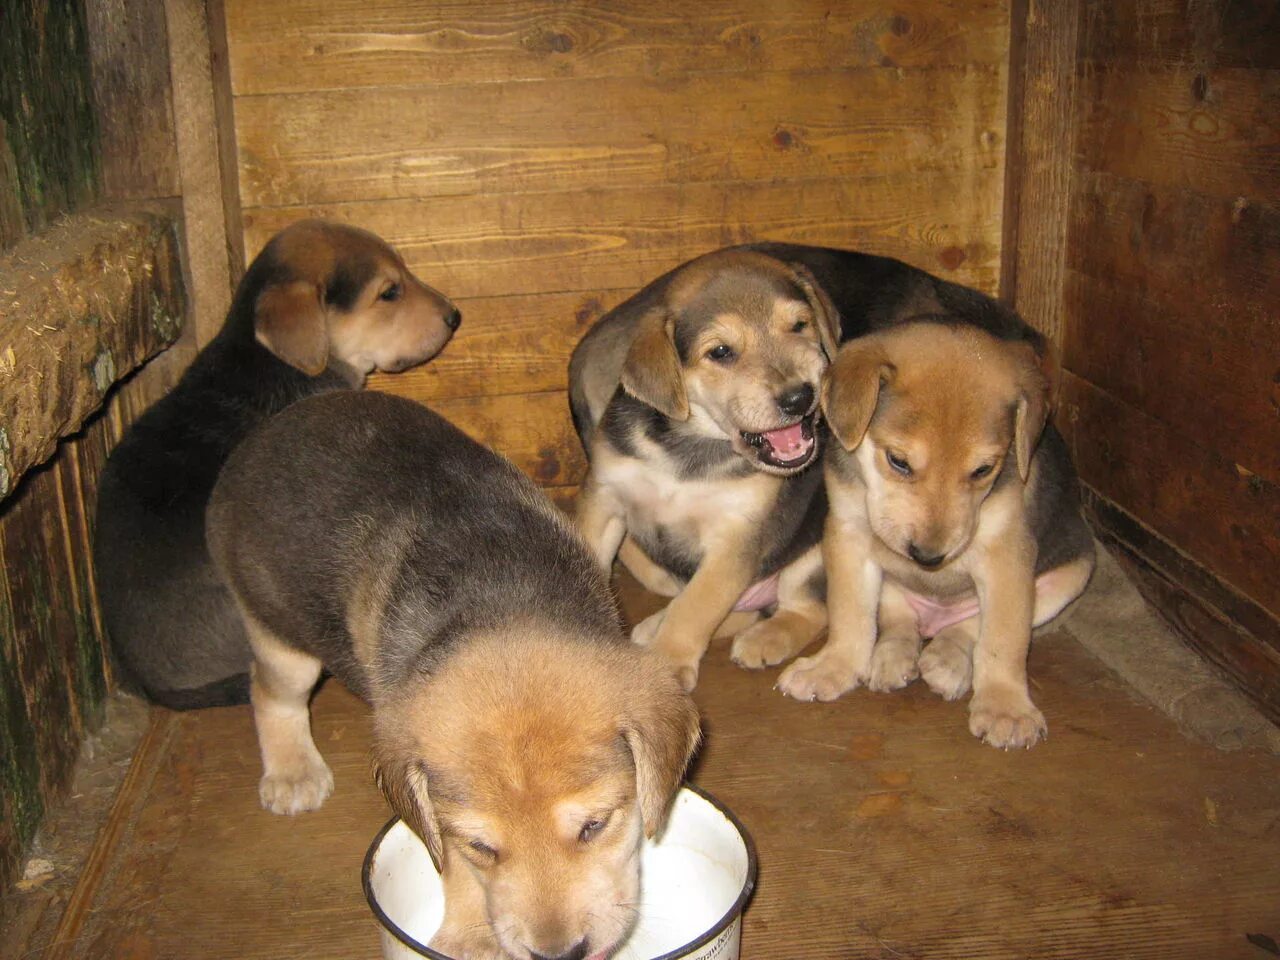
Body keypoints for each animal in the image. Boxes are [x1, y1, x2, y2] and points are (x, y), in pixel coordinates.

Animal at [206, 389, 701, 960]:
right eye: (482, 846)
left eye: (594, 826)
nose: (560, 955)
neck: (503, 604)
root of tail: (265, 433)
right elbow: (456, 870)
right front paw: (471, 937)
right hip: (283, 639)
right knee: (269, 693)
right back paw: (291, 773)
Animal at [783, 323, 1095, 752]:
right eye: (898, 461)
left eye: (983, 470)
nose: (928, 559)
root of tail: (934, 619)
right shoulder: (848, 536)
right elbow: (850, 615)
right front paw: (834, 666)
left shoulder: (1007, 557)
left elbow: (1003, 640)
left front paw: (1005, 707)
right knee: (899, 619)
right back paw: (893, 656)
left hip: (1070, 577)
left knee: (969, 627)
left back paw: (947, 660)